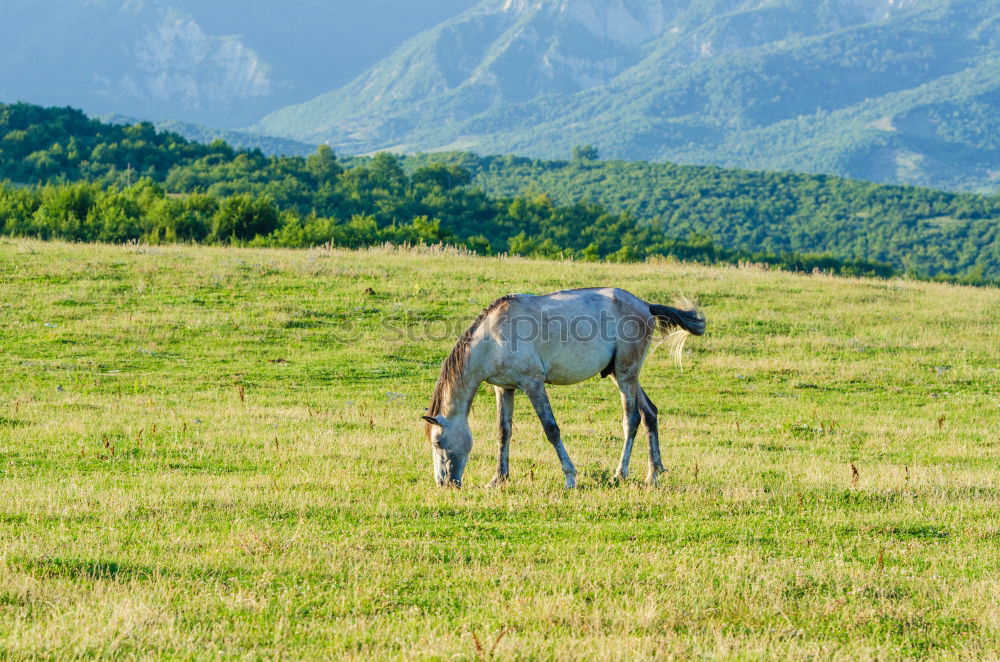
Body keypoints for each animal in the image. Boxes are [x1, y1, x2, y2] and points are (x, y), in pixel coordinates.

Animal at [422, 290, 704, 488]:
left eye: (438, 442)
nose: (444, 482)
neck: (494, 337)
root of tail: (645, 305)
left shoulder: (533, 384)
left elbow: (551, 429)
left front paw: (570, 477)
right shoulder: (505, 389)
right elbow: (503, 432)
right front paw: (498, 478)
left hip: (626, 374)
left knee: (631, 419)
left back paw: (620, 474)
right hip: (621, 374)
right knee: (650, 414)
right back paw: (653, 474)